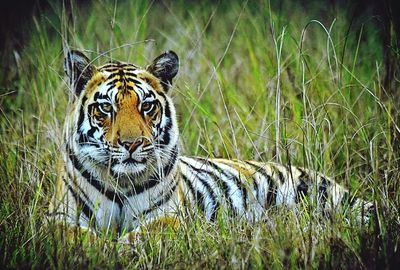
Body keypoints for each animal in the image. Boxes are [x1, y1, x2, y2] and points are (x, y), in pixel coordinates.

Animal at [49, 48, 372, 240]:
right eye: (106, 108)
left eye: (147, 106)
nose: (132, 144)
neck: (122, 181)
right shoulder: (61, 215)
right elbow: (73, 235)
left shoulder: (169, 216)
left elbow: (144, 234)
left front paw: (120, 247)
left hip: (327, 197)